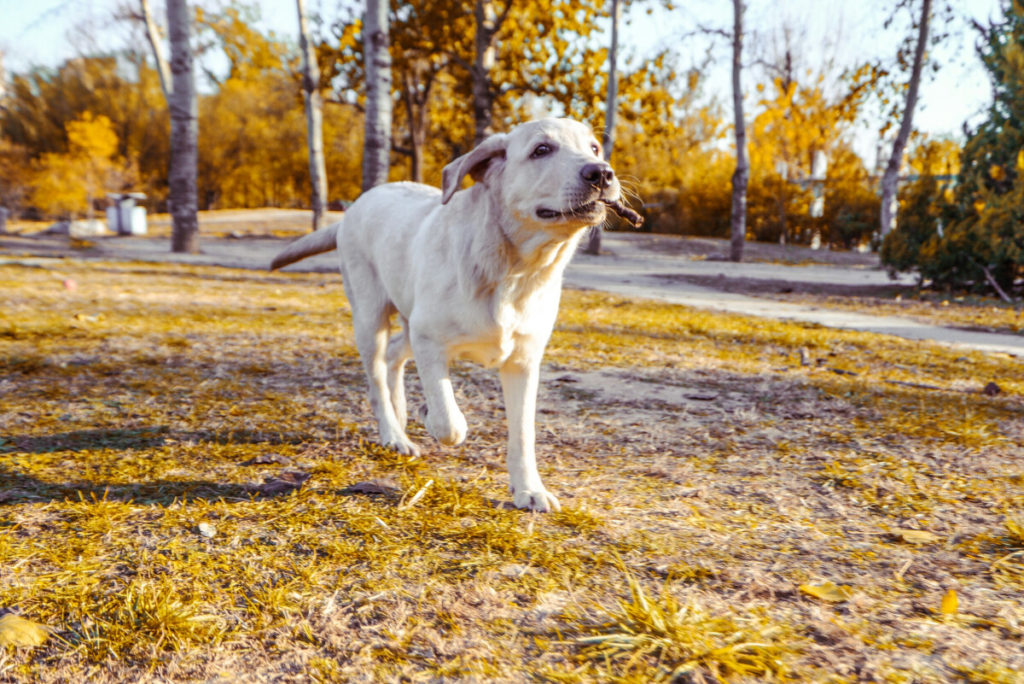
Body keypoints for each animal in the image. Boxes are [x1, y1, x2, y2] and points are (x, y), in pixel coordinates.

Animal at [270, 118, 630, 511]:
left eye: (594, 148)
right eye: (541, 150)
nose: (602, 173)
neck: (515, 273)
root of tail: (356, 206)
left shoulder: (523, 361)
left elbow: (523, 433)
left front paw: (529, 489)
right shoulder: (430, 341)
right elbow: (449, 422)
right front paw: (430, 413)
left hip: (409, 318)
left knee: (395, 354)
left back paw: (401, 410)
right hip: (371, 317)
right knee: (378, 377)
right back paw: (394, 433)